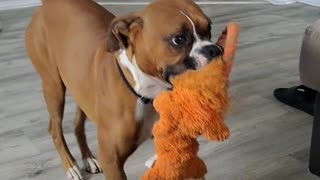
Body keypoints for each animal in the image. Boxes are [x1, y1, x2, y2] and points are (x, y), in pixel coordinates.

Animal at [25, 0, 224, 179]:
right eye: (178, 39)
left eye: (209, 28)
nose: (215, 49)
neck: (146, 92)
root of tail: (46, 5)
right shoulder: (111, 160)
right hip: (54, 87)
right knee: (54, 128)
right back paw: (71, 166)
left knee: (77, 123)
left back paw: (88, 158)